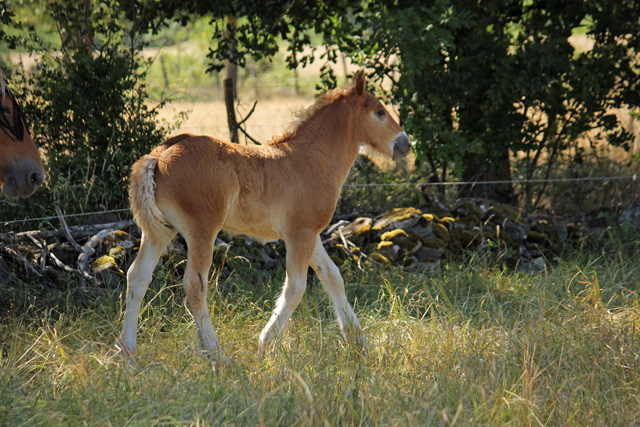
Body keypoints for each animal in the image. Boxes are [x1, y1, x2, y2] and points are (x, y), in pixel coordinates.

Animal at [117, 70, 412, 364]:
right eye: (380, 112)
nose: (406, 144)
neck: (311, 159)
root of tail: (159, 155)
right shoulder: (300, 235)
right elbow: (296, 288)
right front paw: (266, 343)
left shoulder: (310, 234)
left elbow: (333, 277)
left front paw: (359, 342)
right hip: (201, 231)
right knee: (194, 284)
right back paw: (216, 354)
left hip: (159, 232)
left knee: (138, 276)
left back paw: (127, 351)